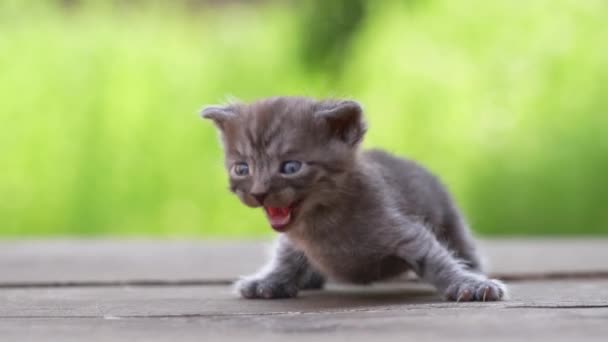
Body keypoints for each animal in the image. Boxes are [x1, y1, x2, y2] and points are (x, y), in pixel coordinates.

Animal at [202, 96, 506, 302]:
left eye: (290, 167)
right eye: (242, 169)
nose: (258, 193)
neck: (320, 221)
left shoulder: (403, 230)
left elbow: (435, 259)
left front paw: (470, 284)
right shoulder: (293, 240)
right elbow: (285, 256)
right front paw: (270, 281)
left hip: (450, 217)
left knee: (462, 246)